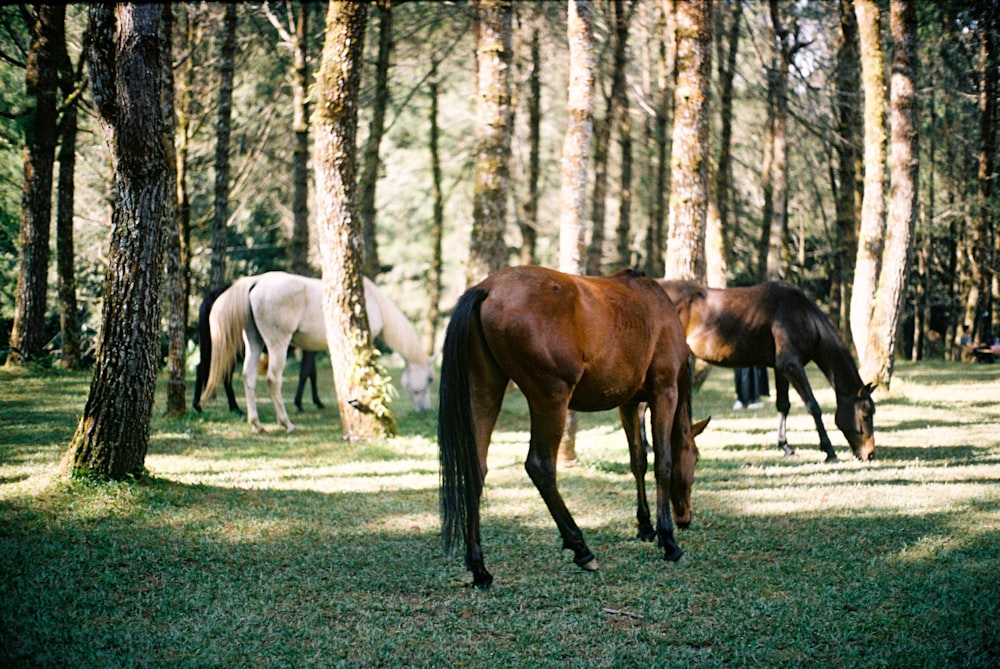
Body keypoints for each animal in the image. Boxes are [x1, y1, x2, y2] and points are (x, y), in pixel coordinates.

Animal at [202, 272, 434, 434]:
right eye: (430, 380)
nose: (424, 410)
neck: (373, 301)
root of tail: (256, 281)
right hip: (278, 344)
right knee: (273, 379)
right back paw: (287, 424)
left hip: (255, 342)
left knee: (248, 377)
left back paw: (257, 425)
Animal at [440, 266, 712, 588]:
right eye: (695, 458)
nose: (685, 518)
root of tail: (488, 288)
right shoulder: (664, 392)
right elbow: (663, 464)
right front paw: (668, 540)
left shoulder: (628, 403)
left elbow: (638, 461)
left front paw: (646, 527)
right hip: (551, 398)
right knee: (540, 466)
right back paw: (581, 548)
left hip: (485, 391)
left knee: (477, 469)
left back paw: (479, 568)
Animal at [660, 280, 872, 462]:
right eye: (865, 415)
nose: (870, 454)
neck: (803, 316)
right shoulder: (791, 365)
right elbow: (813, 406)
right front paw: (829, 451)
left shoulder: (781, 368)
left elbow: (783, 405)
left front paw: (785, 446)